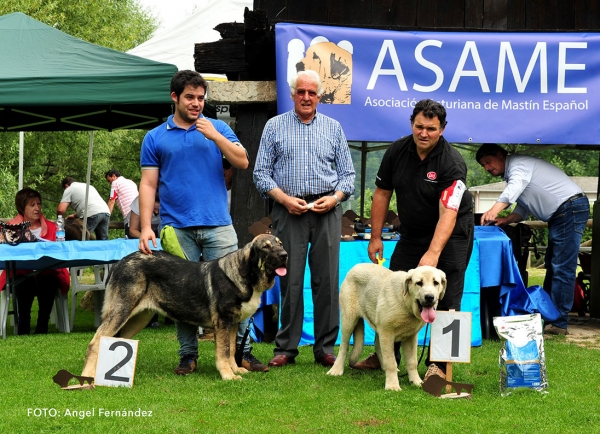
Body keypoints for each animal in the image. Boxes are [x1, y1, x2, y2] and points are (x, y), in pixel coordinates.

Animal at [82, 236, 288, 382]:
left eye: (280, 243)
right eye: (266, 247)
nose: (285, 255)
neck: (246, 276)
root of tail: (120, 262)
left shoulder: (233, 325)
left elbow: (230, 351)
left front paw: (236, 370)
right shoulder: (222, 323)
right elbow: (223, 352)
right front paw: (228, 375)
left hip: (138, 318)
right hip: (121, 311)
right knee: (95, 342)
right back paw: (89, 375)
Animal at [328, 262, 446, 392]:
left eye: (436, 283)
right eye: (419, 283)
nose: (429, 297)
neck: (405, 303)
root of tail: (356, 266)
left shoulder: (410, 337)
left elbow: (412, 362)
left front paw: (416, 382)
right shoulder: (387, 332)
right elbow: (391, 362)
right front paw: (392, 385)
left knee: (377, 345)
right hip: (349, 319)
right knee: (344, 346)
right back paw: (336, 369)